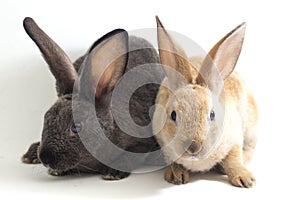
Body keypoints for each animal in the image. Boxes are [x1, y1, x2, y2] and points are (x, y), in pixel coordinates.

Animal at [22, 17, 165, 180]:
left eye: (76, 128)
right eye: (45, 119)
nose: (45, 158)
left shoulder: (142, 141)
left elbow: (132, 155)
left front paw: (113, 173)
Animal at [154, 17, 256, 188]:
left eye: (212, 114)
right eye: (173, 115)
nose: (193, 147)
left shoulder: (234, 139)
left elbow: (234, 159)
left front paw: (245, 179)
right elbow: (172, 160)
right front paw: (176, 175)